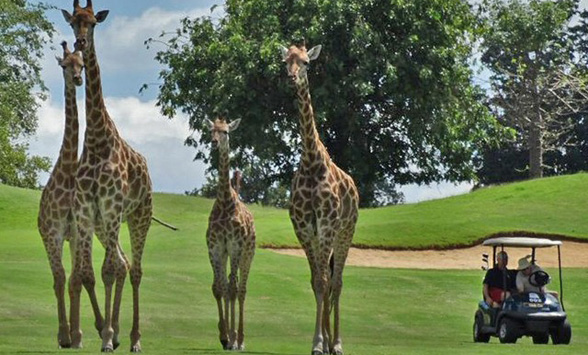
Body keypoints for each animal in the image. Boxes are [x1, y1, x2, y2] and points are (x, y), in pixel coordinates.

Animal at [61, 0, 154, 352]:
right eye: (73, 22)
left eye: (94, 23)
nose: (80, 42)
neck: (98, 141)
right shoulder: (88, 210)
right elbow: (91, 273)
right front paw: (104, 332)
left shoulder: (113, 208)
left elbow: (109, 270)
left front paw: (108, 337)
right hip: (105, 225)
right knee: (124, 264)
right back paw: (116, 334)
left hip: (139, 217)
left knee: (135, 268)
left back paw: (134, 339)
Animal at [280, 43, 358, 354]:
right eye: (285, 61)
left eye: (306, 62)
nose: (291, 78)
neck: (312, 162)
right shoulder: (304, 228)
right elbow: (316, 282)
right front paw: (317, 342)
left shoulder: (326, 225)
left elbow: (326, 282)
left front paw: (323, 343)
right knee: (327, 280)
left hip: (345, 231)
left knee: (338, 282)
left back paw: (337, 343)